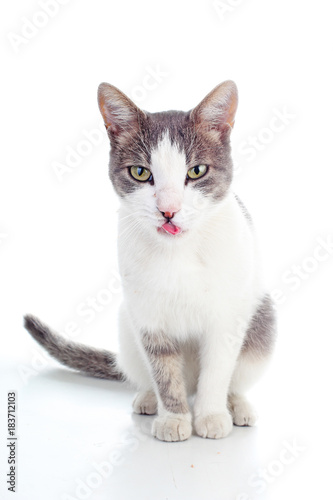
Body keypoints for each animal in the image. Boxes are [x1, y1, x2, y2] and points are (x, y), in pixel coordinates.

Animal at [24, 81, 274, 442]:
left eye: (196, 171)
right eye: (141, 172)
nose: (168, 210)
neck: (179, 252)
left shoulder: (226, 318)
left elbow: (217, 370)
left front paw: (211, 415)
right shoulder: (147, 318)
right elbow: (163, 370)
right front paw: (174, 417)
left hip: (262, 321)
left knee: (236, 377)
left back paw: (237, 406)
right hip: (125, 327)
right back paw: (147, 398)